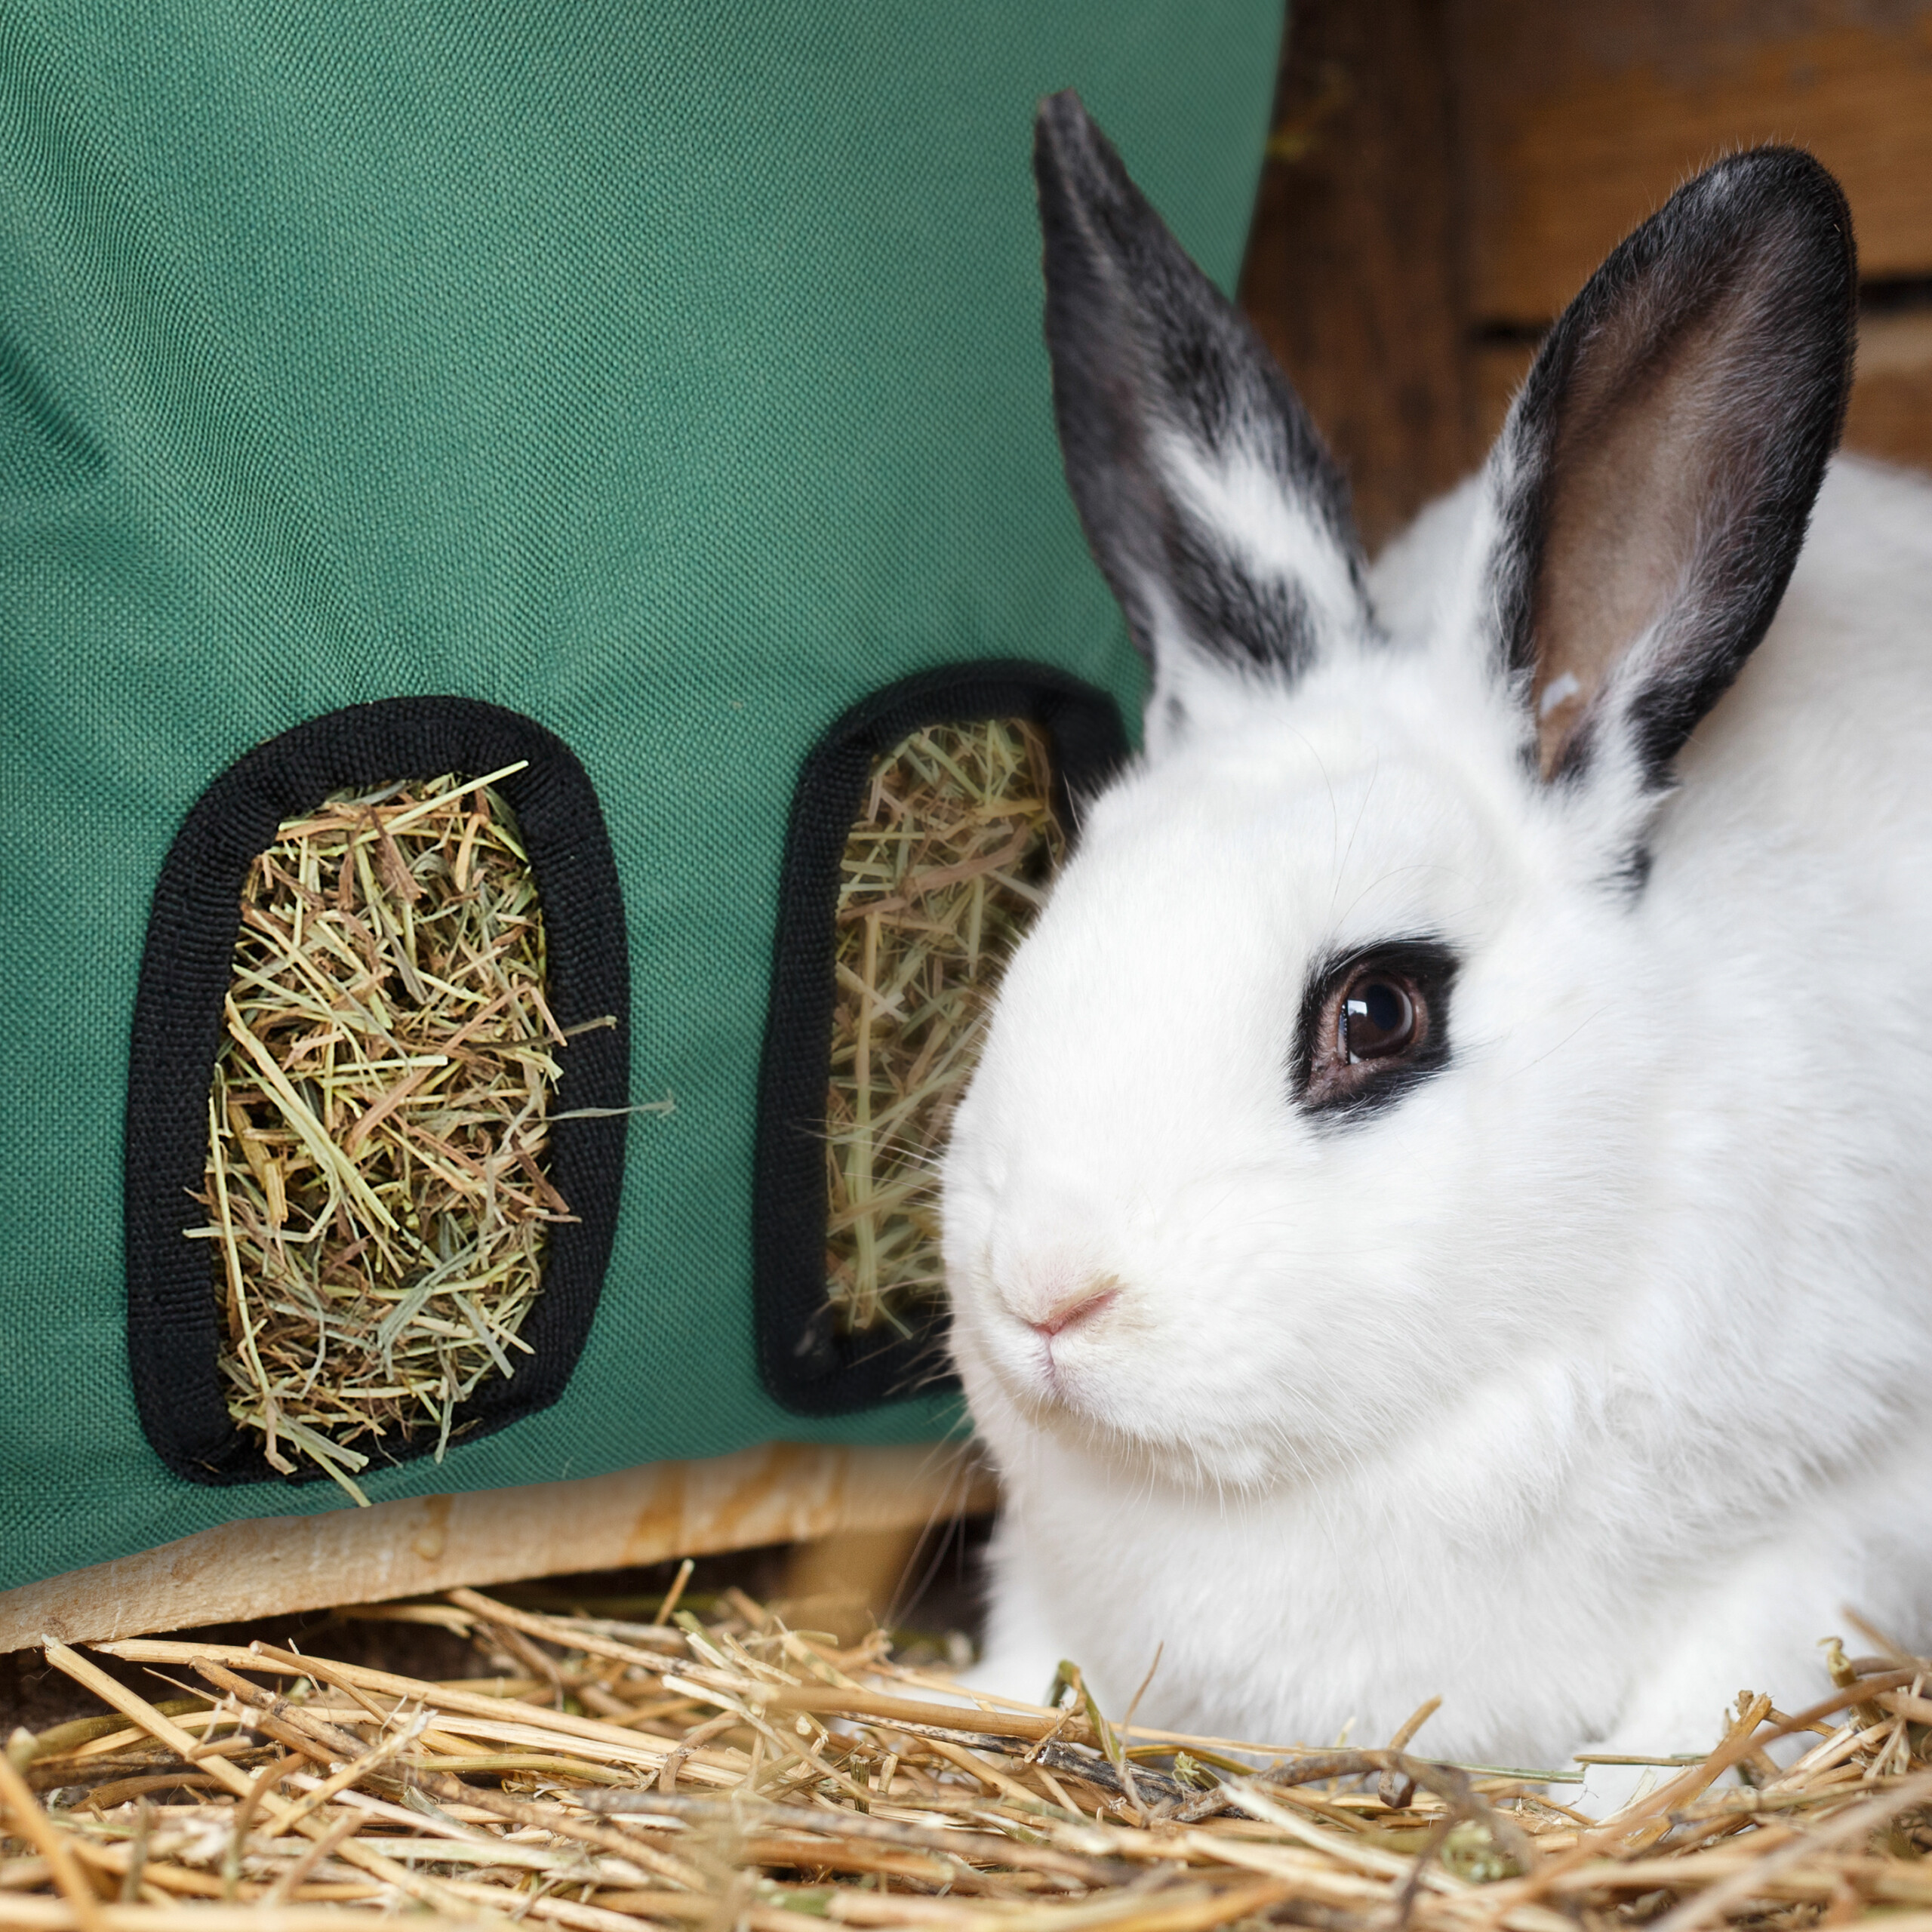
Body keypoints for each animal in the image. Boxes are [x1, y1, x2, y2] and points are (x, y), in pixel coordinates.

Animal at [939, 89, 1932, 1789]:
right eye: (1060, 916)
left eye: (1378, 1014)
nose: (1047, 1293)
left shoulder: (1845, 1517)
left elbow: (1722, 1686)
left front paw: (1602, 1810)